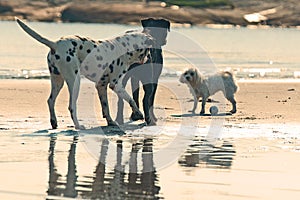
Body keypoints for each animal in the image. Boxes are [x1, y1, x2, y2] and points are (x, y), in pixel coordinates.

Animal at [16, 18, 152, 130]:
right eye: (148, 50)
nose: (148, 58)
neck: (124, 47)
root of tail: (55, 44)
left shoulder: (101, 86)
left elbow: (106, 107)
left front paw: (111, 122)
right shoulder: (115, 85)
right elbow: (131, 100)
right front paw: (139, 114)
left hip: (57, 82)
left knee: (50, 100)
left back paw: (54, 122)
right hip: (75, 82)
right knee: (71, 107)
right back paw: (78, 126)